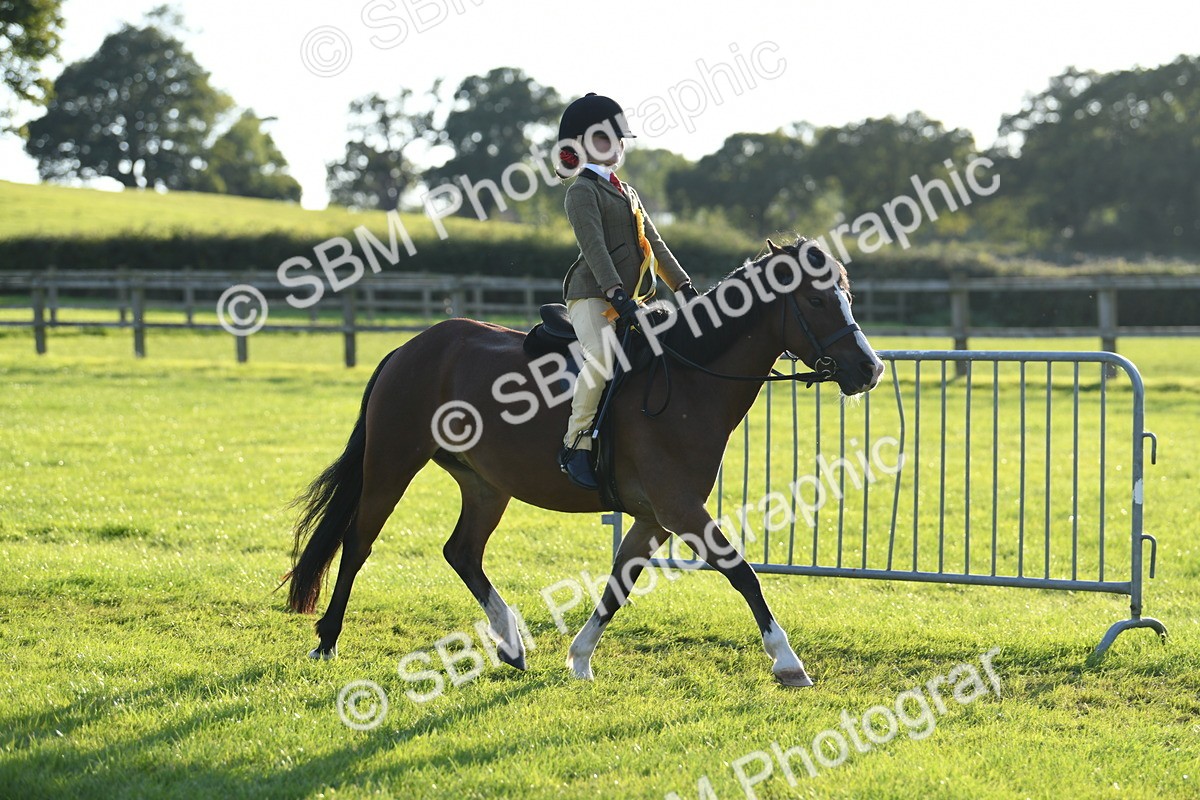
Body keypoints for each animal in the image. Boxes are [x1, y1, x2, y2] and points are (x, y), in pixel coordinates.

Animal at [285, 237, 884, 687]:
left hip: (485, 484)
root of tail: (412, 346)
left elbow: (619, 585)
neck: (689, 378)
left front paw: (579, 658)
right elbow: (742, 572)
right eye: (817, 301)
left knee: (462, 552)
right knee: (358, 543)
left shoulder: (654, 517)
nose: (870, 369)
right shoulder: (681, 509)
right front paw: (788, 662)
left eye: (848, 294)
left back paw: (512, 644)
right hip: (392, 463)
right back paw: (328, 640)